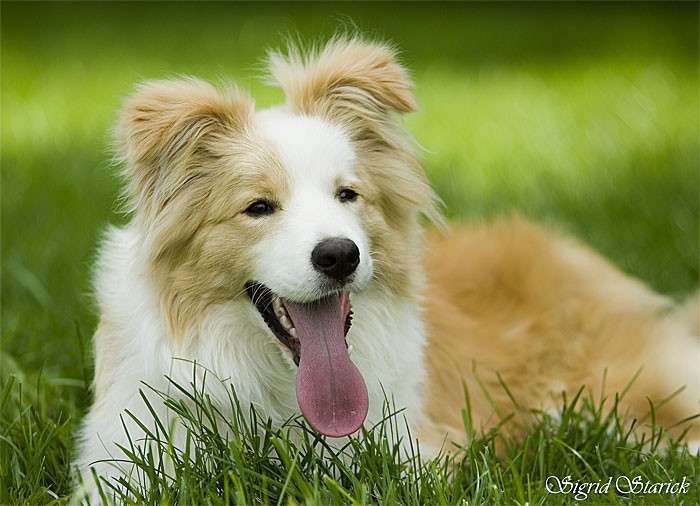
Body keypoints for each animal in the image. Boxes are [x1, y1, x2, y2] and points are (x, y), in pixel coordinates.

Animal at [72, 37, 700, 496]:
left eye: (348, 195)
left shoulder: (409, 449)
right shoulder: (124, 456)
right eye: (259, 207)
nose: (339, 254)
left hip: (613, 393)